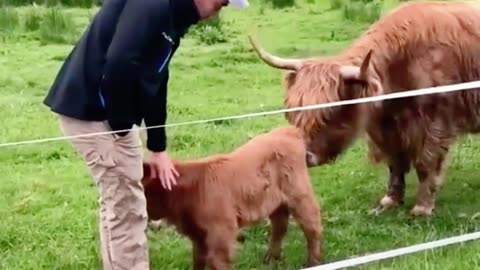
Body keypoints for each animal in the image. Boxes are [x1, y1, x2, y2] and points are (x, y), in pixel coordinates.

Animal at [142, 125, 322, 268]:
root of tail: (289, 130)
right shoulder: (199, 237)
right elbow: (198, 260)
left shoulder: (222, 233)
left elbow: (218, 262)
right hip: (275, 201)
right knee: (280, 225)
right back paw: (271, 259)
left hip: (300, 194)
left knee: (312, 226)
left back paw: (313, 262)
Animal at [249, 0, 480, 217]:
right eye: (292, 112)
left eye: (330, 113)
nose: (303, 157)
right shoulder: (387, 129)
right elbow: (395, 163)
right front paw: (389, 201)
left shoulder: (436, 122)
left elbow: (426, 163)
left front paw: (422, 208)